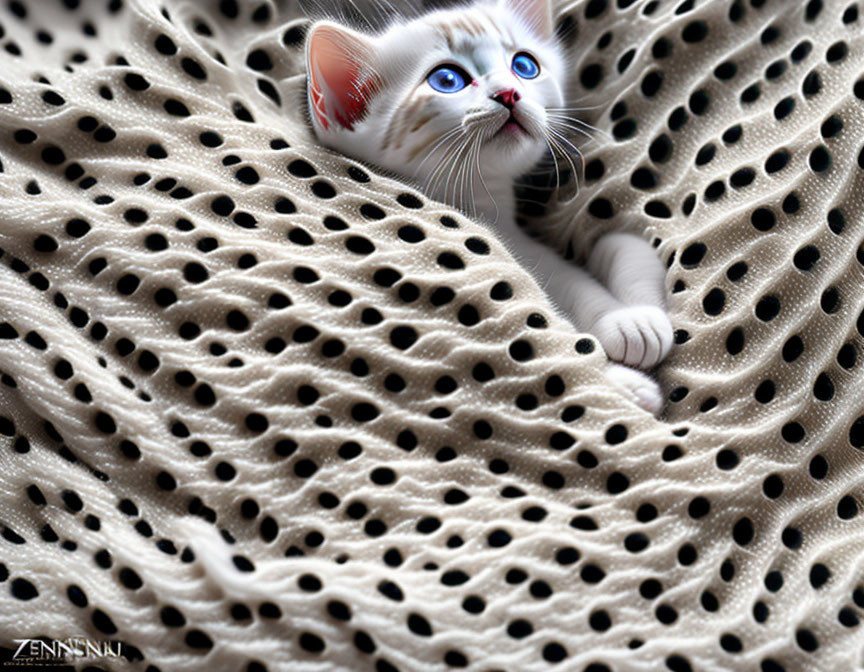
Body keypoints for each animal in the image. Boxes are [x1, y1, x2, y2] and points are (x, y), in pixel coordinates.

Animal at [304, 0, 676, 414]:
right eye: (447, 79)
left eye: (524, 66)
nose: (509, 92)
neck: (486, 211)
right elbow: (554, 331)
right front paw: (627, 356)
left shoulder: (536, 255)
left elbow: (585, 273)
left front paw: (633, 315)